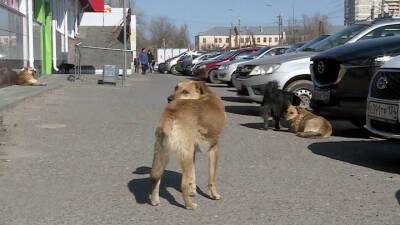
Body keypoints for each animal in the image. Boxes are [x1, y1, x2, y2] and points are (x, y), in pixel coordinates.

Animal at [150, 79, 225, 209]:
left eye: (185, 91)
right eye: (176, 88)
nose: (169, 99)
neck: (205, 96)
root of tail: (172, 111)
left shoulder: (193, 151)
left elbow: (193, 176)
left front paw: (193, 192)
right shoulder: (214, 148)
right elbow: (211, 177)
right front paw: (214, 195)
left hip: (163, 152)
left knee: (156, 178)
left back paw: (155, 201)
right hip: (185, 155)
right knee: (183, 184)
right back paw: (189, 205)